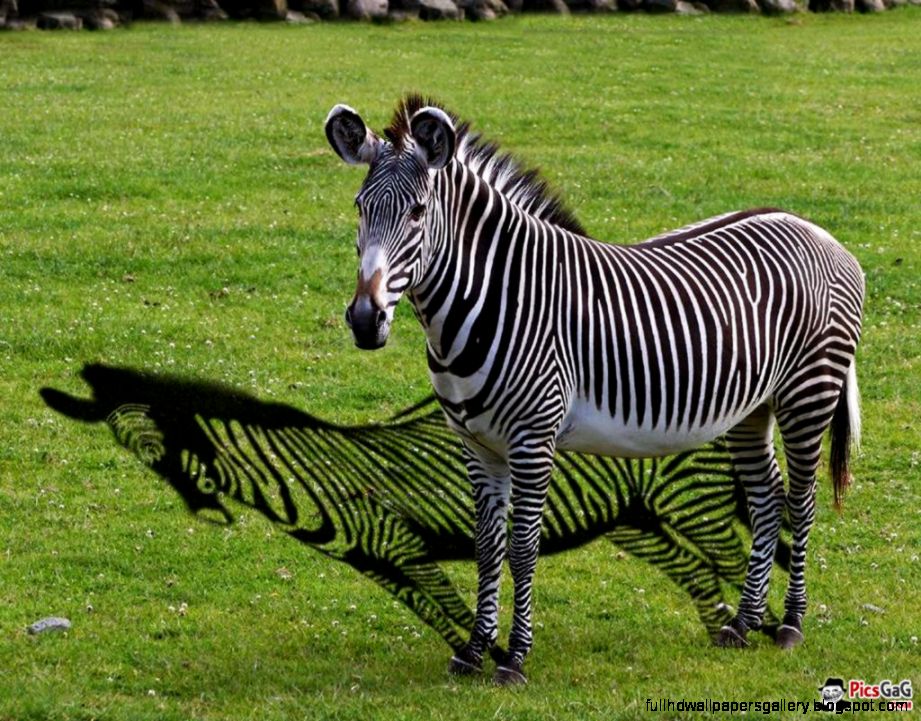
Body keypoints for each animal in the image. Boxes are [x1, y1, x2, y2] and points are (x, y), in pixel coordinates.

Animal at [324, 95, 864, 685]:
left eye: (419, 213)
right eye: (359, 208)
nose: (365, 321)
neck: (495, 297)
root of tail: (814, 229)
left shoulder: (533, 438)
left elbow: (522, 547)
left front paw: (514, 658)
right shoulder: (476, 442)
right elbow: (487, 545)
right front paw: (473, 649)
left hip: (809, 392)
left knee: (801, 503)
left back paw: (790, 624)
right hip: (752, 407)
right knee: (766, 500)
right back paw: (742, 623)